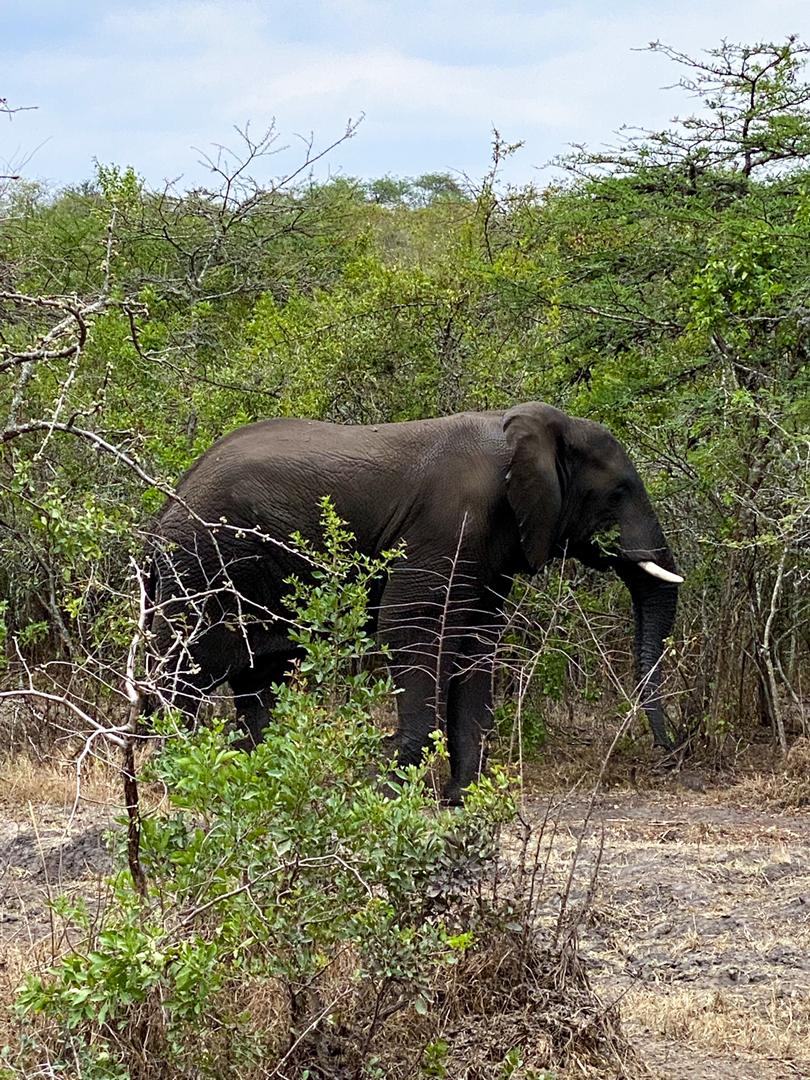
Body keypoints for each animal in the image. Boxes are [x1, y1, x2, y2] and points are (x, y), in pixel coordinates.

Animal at [145, 402, 682, 804]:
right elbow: (411, 627)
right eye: (619, 492)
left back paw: (250, 772)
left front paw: (461, 798)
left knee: (260, 676)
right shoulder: (448, 525)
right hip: (202, 567)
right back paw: (173, 773)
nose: (668, 752)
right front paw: (385, 791)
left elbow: (476, 645)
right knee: (186, 672)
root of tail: (165, 507)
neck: (522, 429)